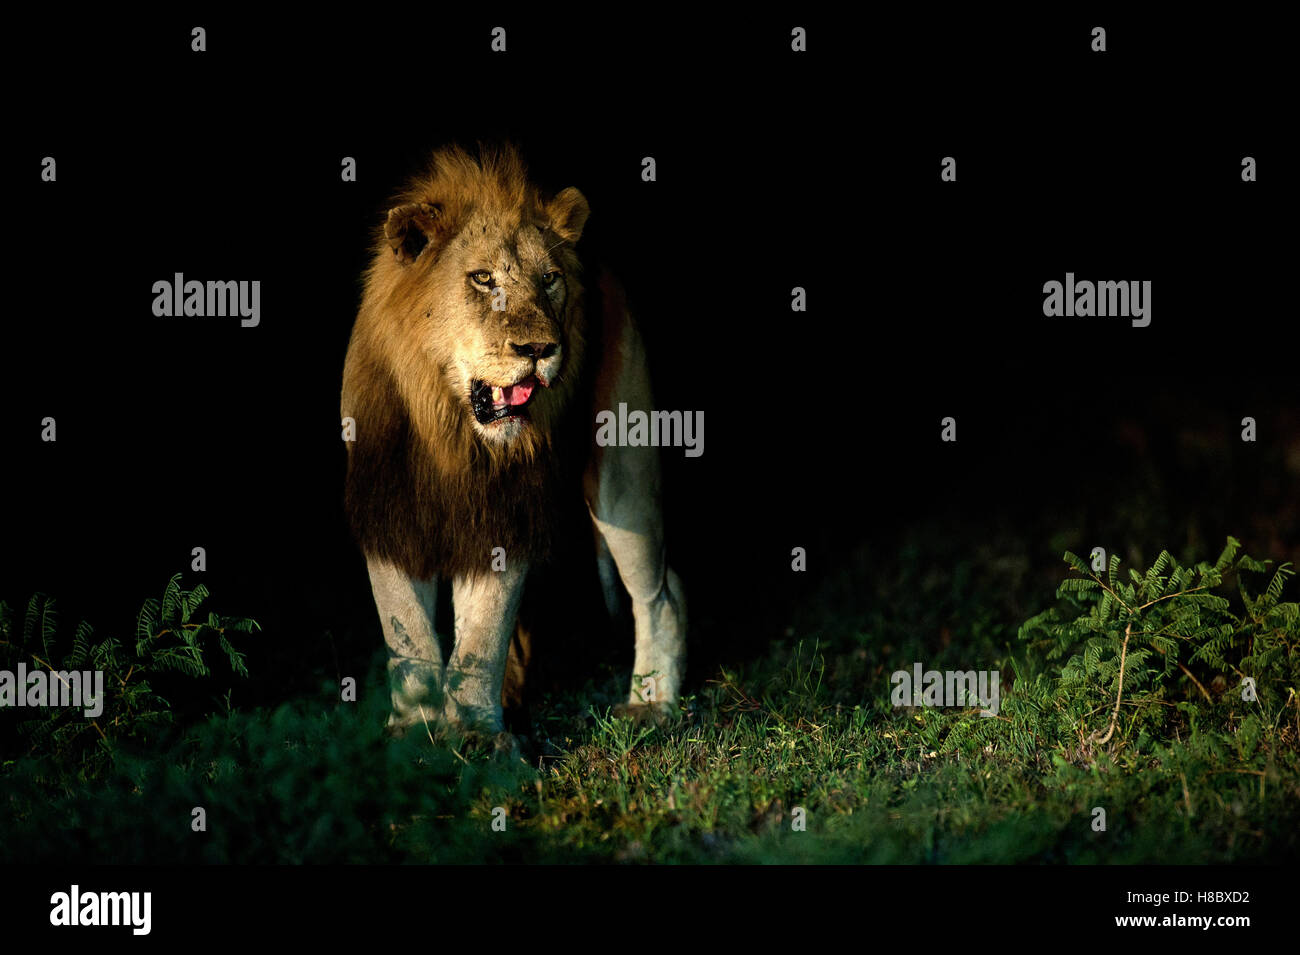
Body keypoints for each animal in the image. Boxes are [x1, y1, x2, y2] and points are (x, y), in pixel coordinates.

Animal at [340, 143, 686, 738]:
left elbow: (482, 638)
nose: (541, 348)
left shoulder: (506, 512)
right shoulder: (388, 505)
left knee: (661, 592)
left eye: (549, 279)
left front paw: (474, 735)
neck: (450, 432)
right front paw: (412, 734)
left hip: (624, 478)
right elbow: (408, 635)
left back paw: (652, 702)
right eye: (482, 279)